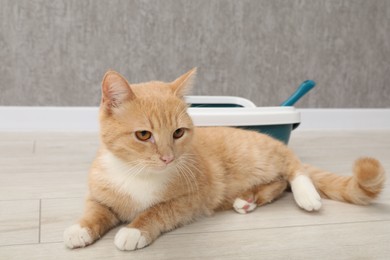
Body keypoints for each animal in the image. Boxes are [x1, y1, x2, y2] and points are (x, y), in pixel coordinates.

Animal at [62, 68, 386, 251]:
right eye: (144, 135)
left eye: (178, 132)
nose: (168, 158)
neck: (136, 174)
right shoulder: (100, 194)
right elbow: (95, 211)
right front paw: (80, 229)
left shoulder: (189, 201)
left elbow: (157, 211)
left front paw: (133, 229)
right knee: (278, 183)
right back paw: (247, 200)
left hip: (264, 156)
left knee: (293, 167)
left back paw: (307, 195)